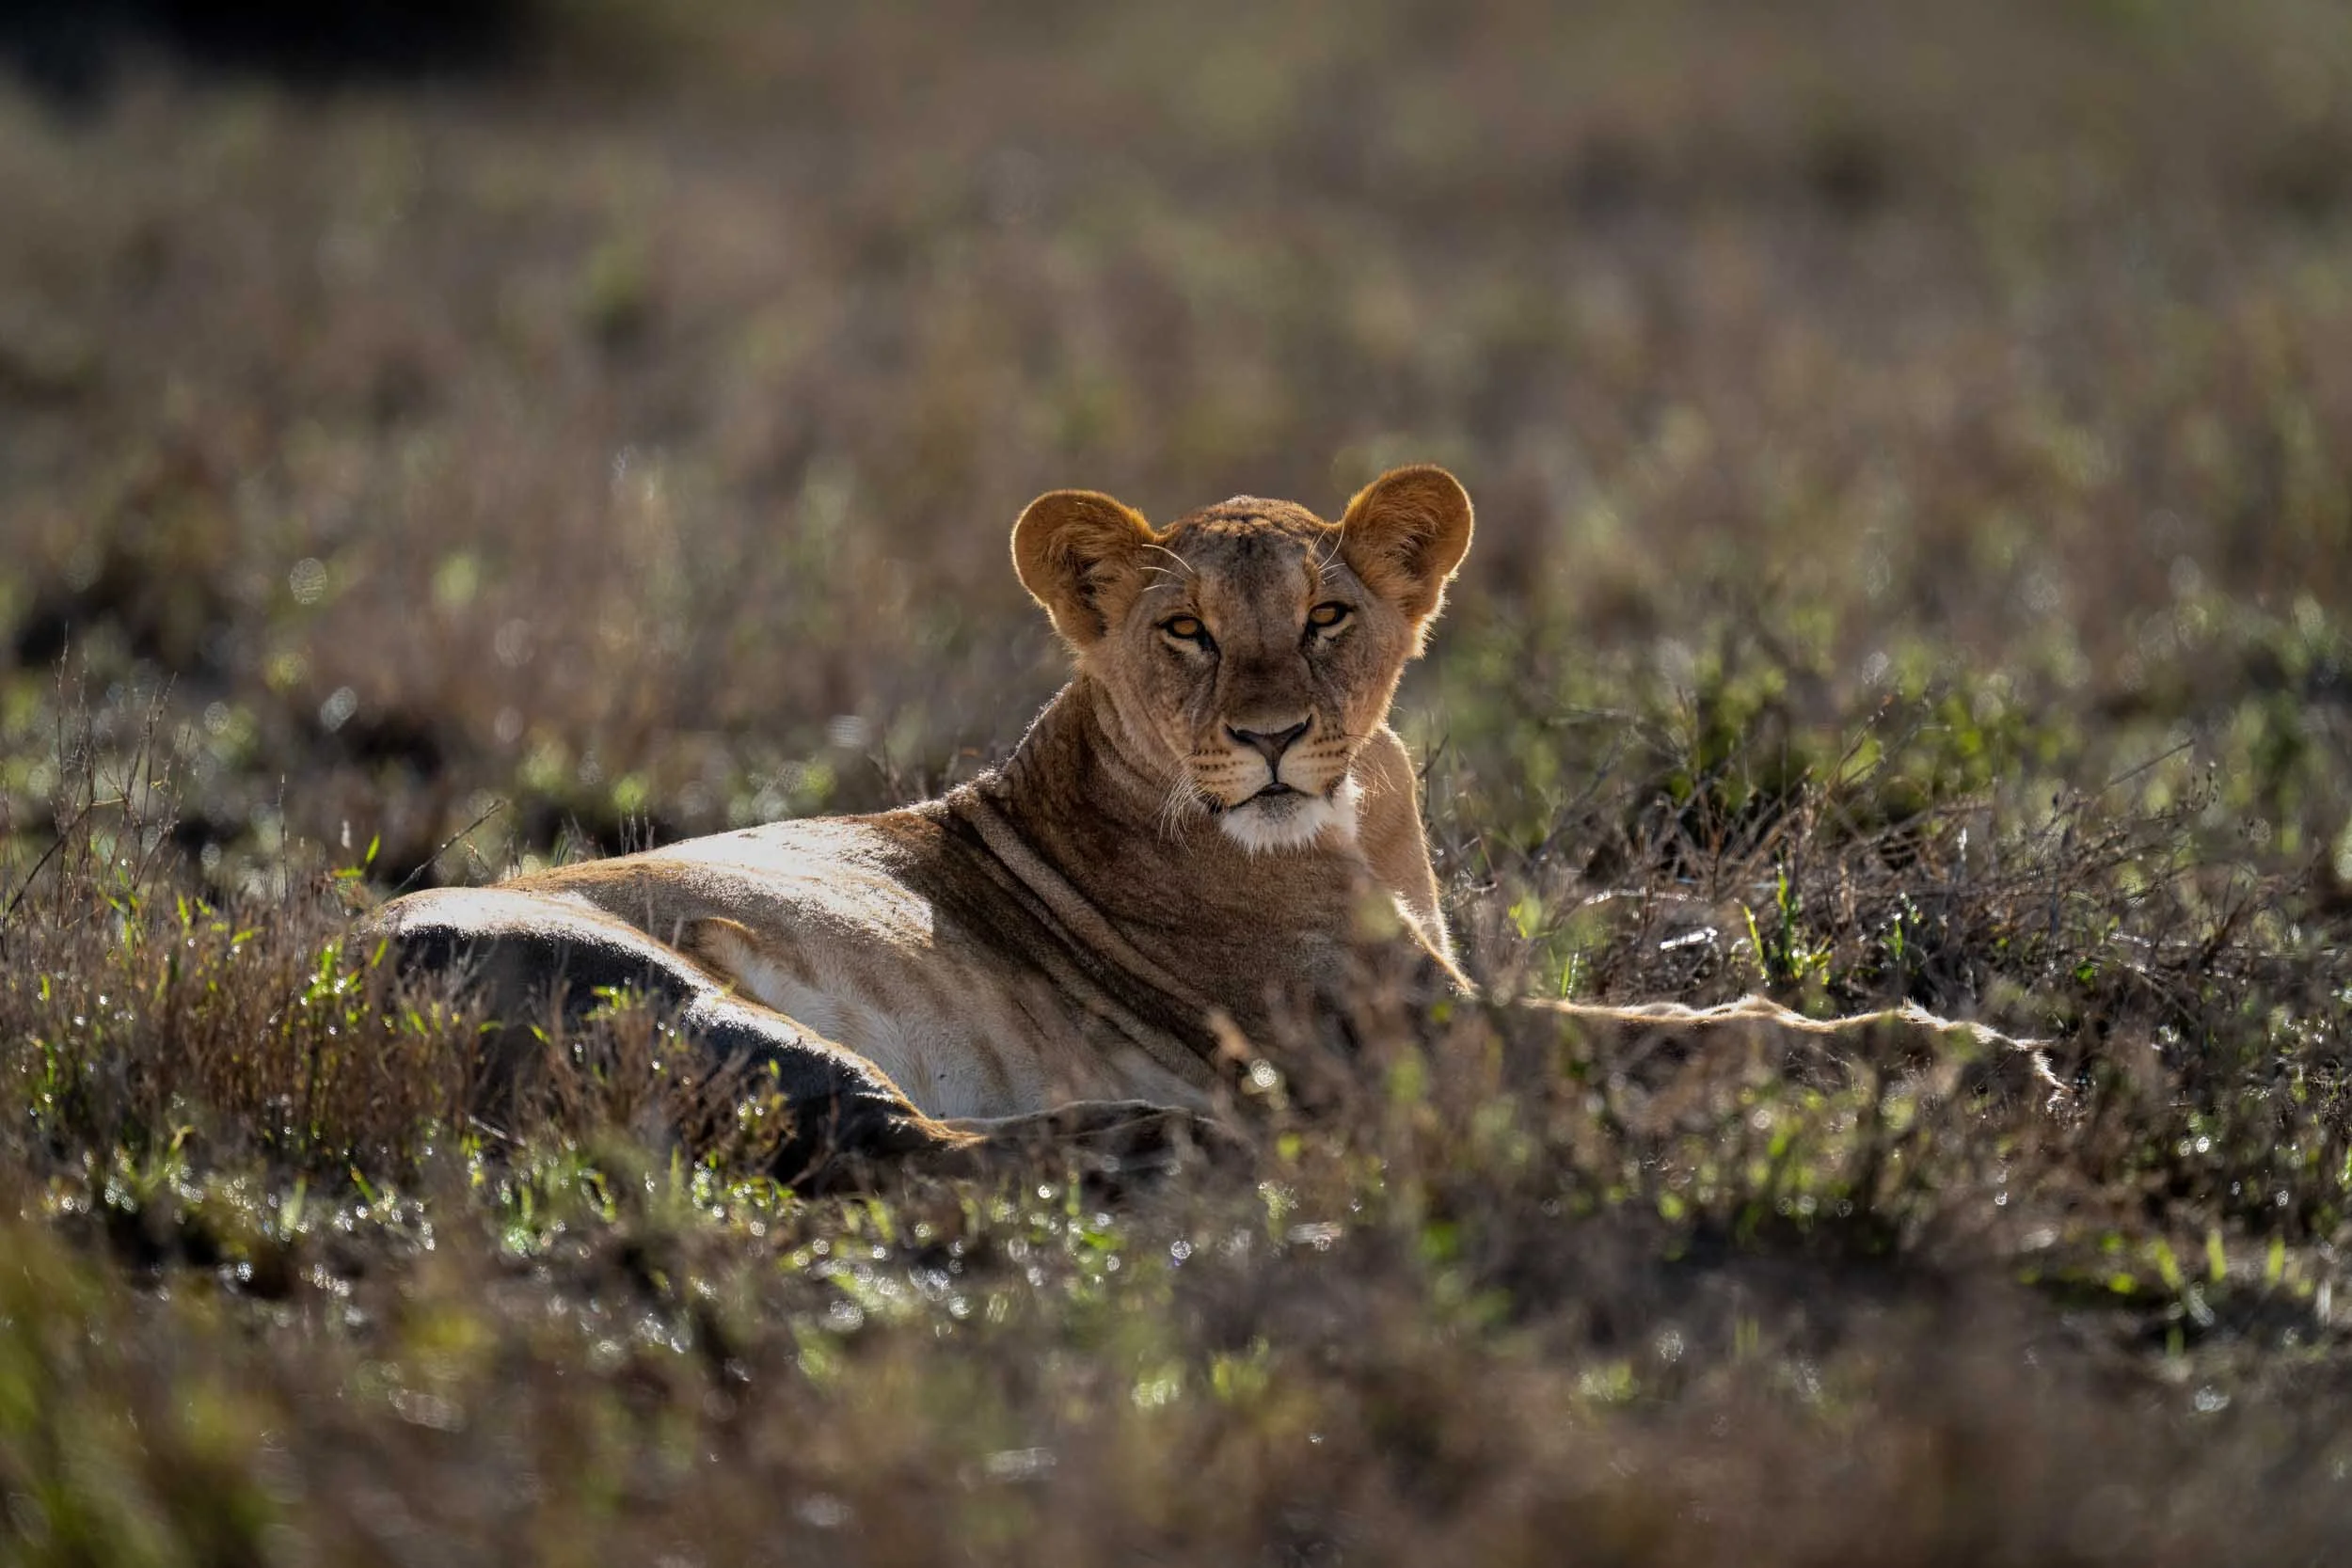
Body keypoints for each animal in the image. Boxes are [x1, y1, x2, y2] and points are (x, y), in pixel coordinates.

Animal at [362, 464, 1474, 1179]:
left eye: (1325, 617)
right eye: (1185, 629)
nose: (1272, 735)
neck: (1360, 816)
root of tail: (322, 991)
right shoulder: (1379, 1023)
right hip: (670, 995)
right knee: (899, 1148)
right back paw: (1174, 1139)